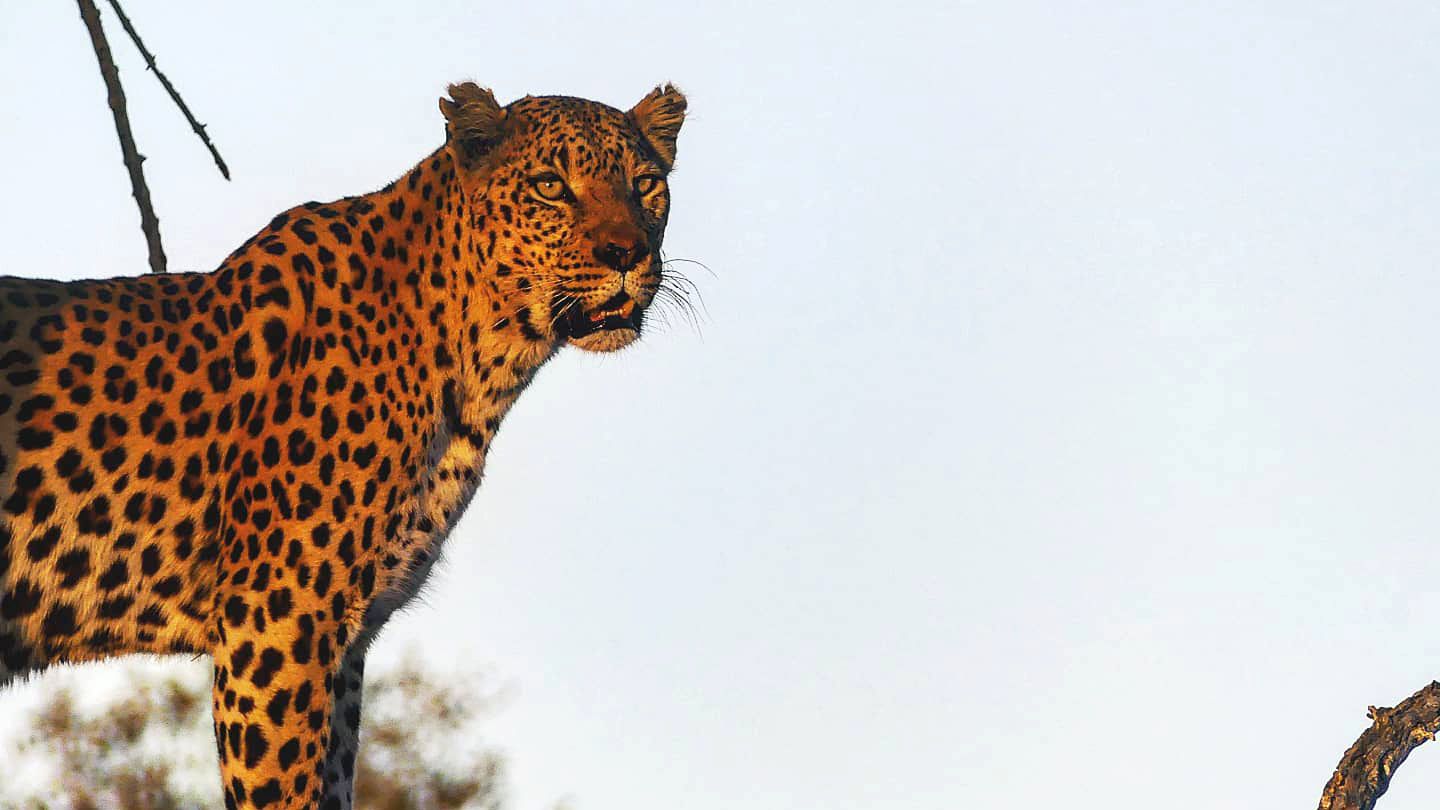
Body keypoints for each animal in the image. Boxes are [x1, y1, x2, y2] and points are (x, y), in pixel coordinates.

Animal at [0, 81, 687, 809]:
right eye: (552, 186)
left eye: (646, 185)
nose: (627, 254)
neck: (481, 363)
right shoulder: (274, 620)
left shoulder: (347, 639)